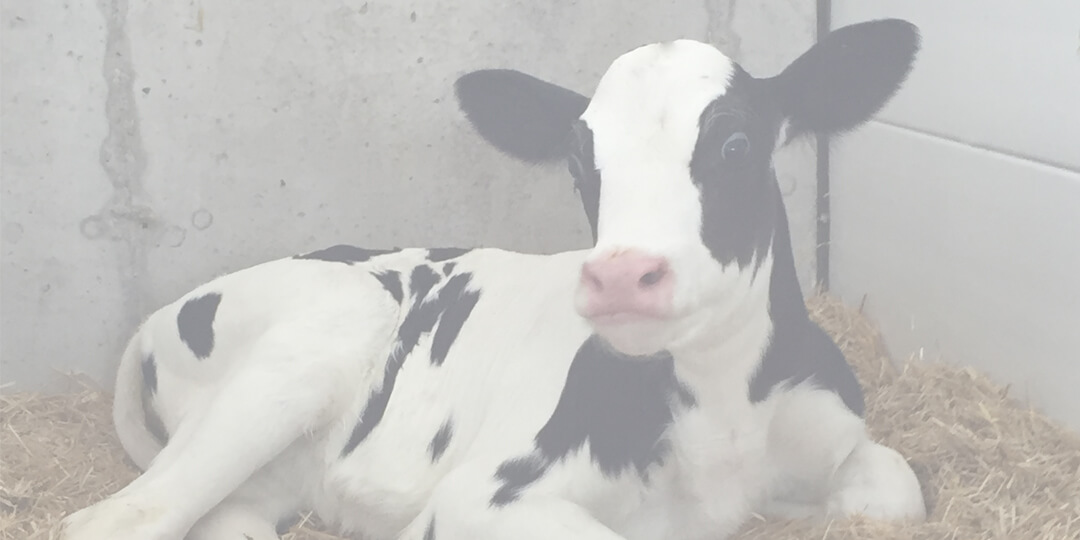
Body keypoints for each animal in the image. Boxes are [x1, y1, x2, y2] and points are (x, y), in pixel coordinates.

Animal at [59, 17, 924, 540]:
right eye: (578, 160)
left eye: (736, 144)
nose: (621, 277)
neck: (722, 417)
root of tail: (158, 315)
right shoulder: (485, 495)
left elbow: (896, 488)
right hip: (308, 349)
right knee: (117, 520)